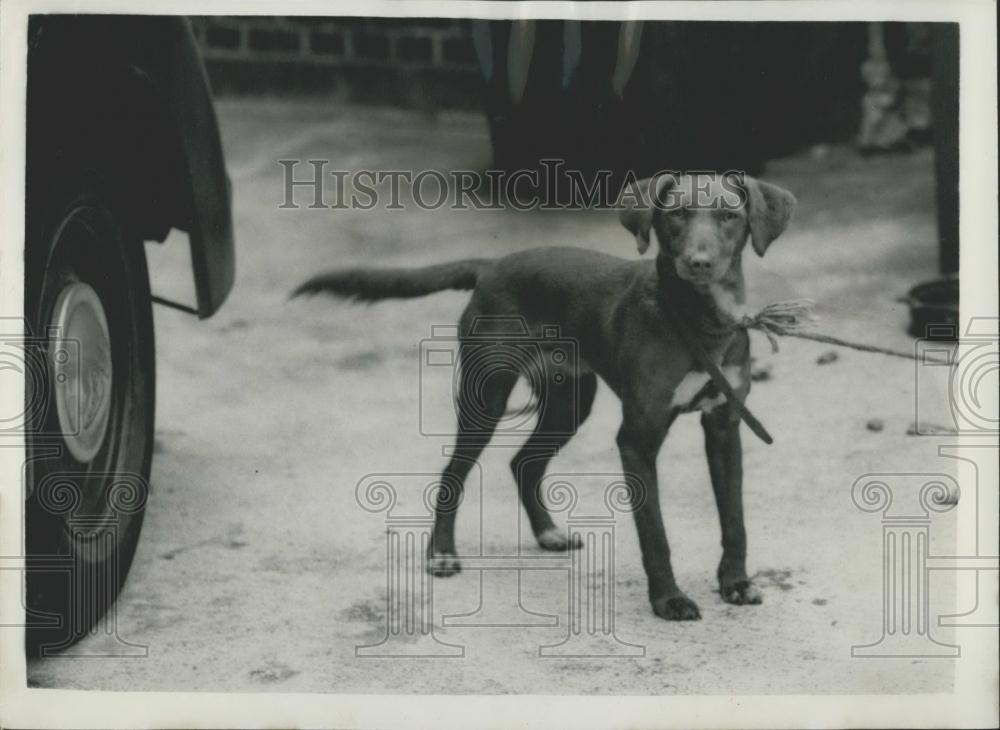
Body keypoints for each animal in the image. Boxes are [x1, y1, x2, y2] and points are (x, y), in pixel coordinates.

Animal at [294, 172, 796, 620]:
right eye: (676, 215)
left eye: (729, 215)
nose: (699, 262)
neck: (699, 322)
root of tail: (491, 266)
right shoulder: (638, 438)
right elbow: (655, 534)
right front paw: (668, 600)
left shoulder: (725, 427)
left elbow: (734, 520)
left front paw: (736, 584)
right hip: (487, 396)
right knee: (453, 472)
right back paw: (441, 553)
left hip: (568, 403)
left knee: (524, 463)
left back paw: (547, 533)